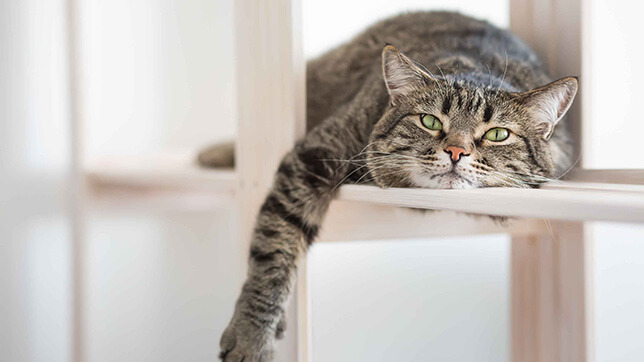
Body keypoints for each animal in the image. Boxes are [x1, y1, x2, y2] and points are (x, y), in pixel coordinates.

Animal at [206, 12, 580, 362]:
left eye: (497, 134)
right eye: (430, 121)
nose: (456, 151)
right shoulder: (313, 157)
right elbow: (273, 250)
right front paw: (252, 336)